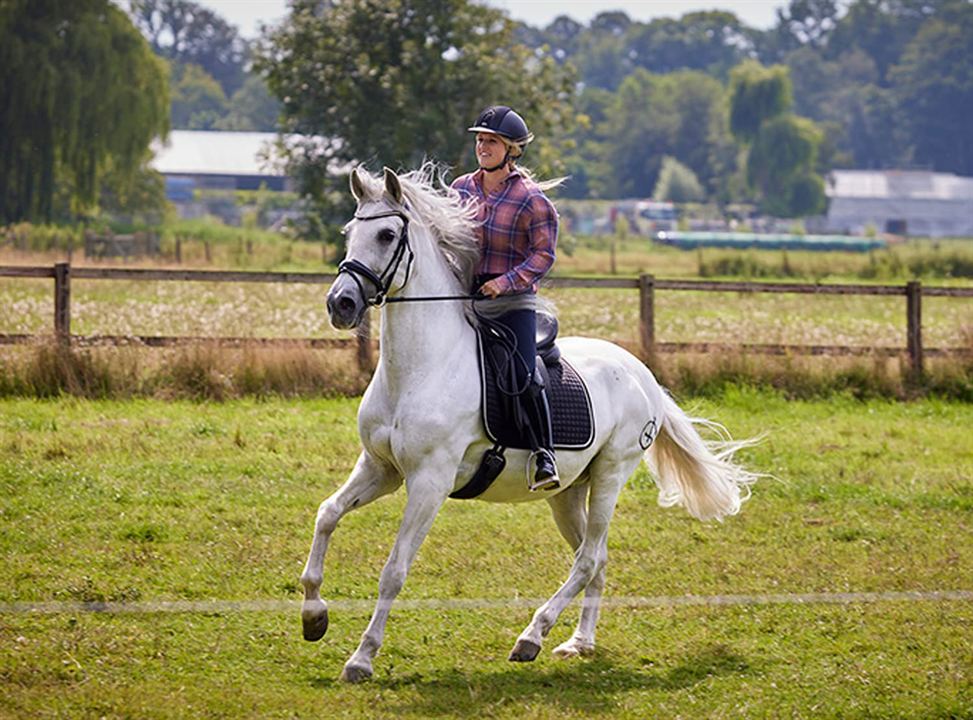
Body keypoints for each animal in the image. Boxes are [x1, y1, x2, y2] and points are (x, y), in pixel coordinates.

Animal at [300, 163, 756, 680]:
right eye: (349, 232)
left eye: (387, 234)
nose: (340, 305)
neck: (420, 368)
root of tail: (643, 375)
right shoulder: (381, 469)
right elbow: (327, 514)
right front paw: (314, 617)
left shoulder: (429, 481)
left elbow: (394, 570)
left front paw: (361, 658)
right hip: (567, 492)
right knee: (595, 559)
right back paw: (578, 643)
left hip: (610, 475)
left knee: (588, 558)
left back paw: (532, 636)